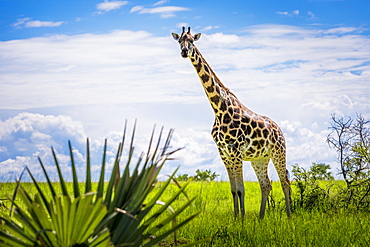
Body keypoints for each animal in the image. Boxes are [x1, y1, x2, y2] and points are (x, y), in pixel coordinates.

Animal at [173, 26, 292, 218]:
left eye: (191, 41)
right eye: (179, 41)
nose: (184, 52)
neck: (219, 109)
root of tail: (279, 129)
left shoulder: (235, 150)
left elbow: (241, 189)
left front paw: (242, 219)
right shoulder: (223, 152)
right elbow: (233, 189)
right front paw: (236, 218)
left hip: (279, 152)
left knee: (285, 182)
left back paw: (288, 217)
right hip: (260, 158)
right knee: (266, 185)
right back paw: (260, 218)